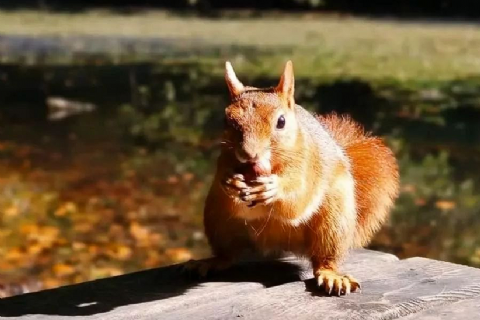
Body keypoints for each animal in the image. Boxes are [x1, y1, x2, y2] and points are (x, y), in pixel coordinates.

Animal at [186, 60, 400, 296]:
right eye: (226, 120)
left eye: (281, 121)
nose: (249, 153)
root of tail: (280, 246)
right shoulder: (223, 162)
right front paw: (231, 182)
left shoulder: (310, 165)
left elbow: (298, 200)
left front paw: (274, 188)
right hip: (218, 219)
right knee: (228, 254)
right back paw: (212, 261)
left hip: (335, 220)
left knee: (324, 259)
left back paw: (331, 275)